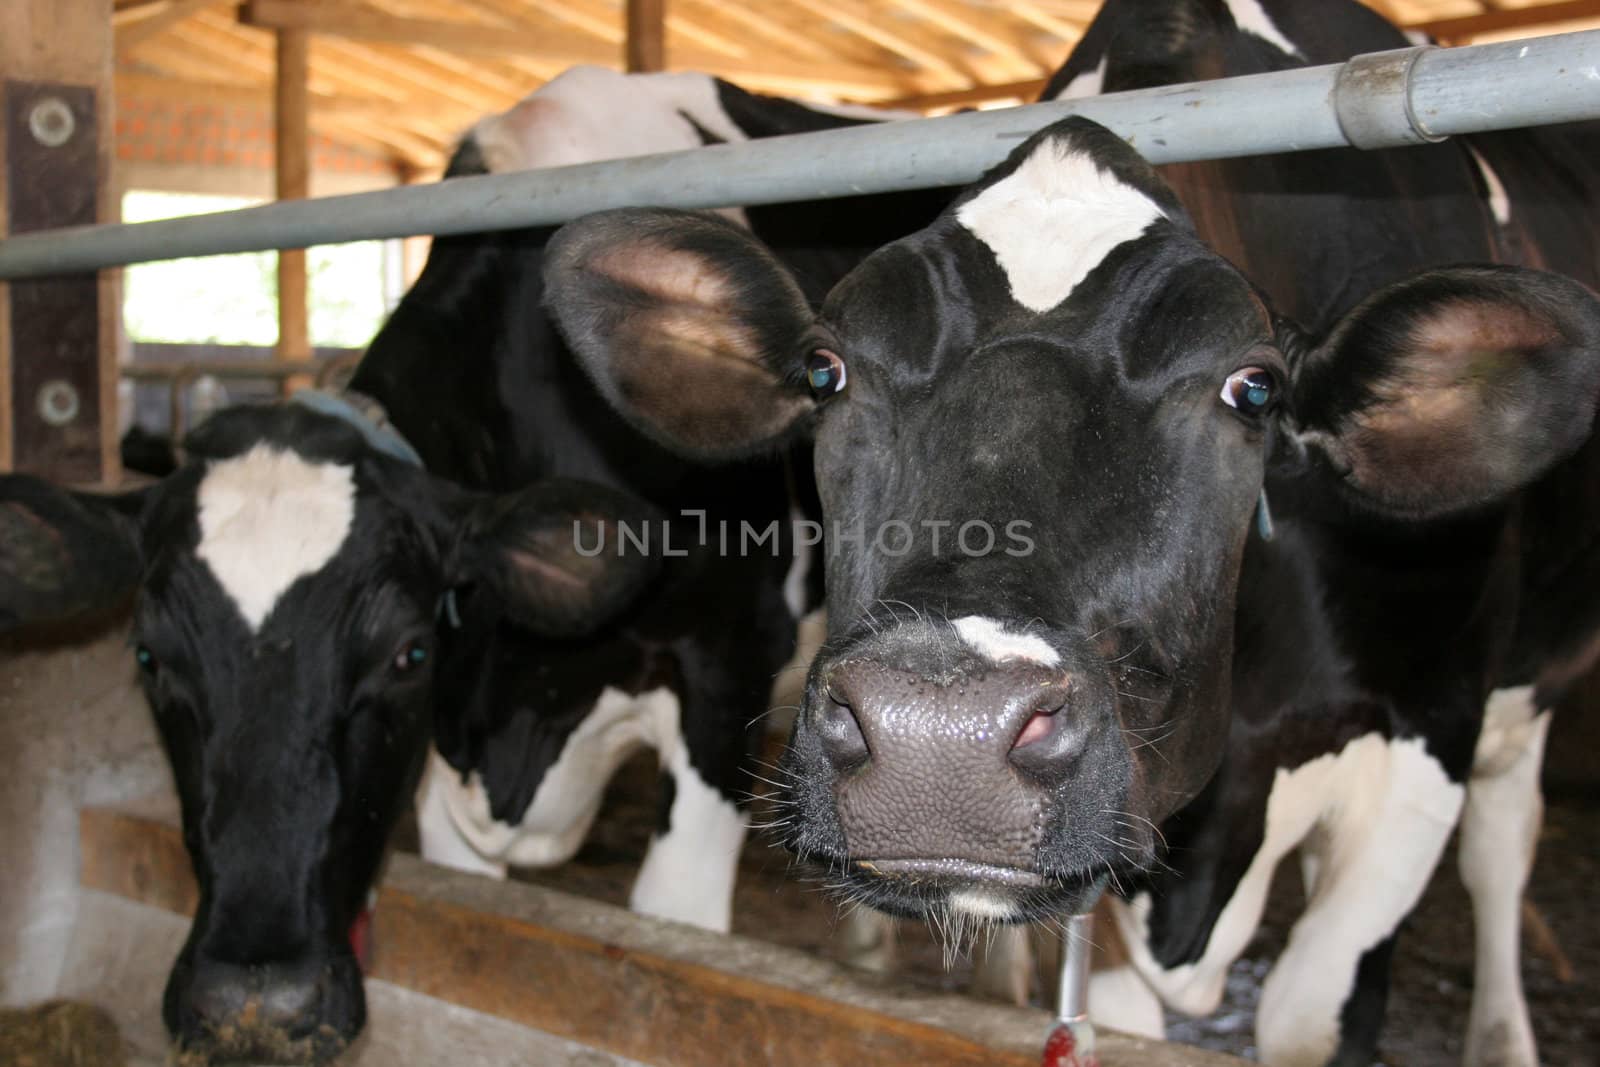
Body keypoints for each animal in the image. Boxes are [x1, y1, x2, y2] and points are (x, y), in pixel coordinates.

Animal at [540, 4, 1600, 1062]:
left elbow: (1311, 1002)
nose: (941, 738)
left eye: (1254, 388)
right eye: (825, 372)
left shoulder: (1423, 749)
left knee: (1502, 847)